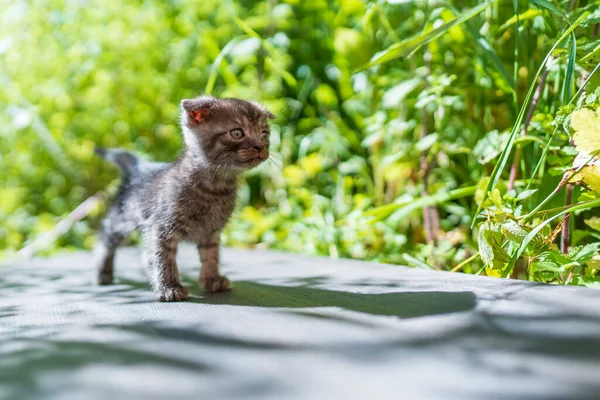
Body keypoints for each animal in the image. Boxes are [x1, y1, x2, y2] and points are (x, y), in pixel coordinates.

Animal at [94, 97, 274, 302]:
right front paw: (169, 288)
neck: (215, 188)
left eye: (265, 135)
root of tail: (138, 166)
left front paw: (211, 279)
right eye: (237, 133)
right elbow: (164, 259)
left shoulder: (211, 232)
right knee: (105, 238)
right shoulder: (161, 227)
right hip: (121, 218)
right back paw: (103, 273)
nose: (261, 147)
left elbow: (211, 257)